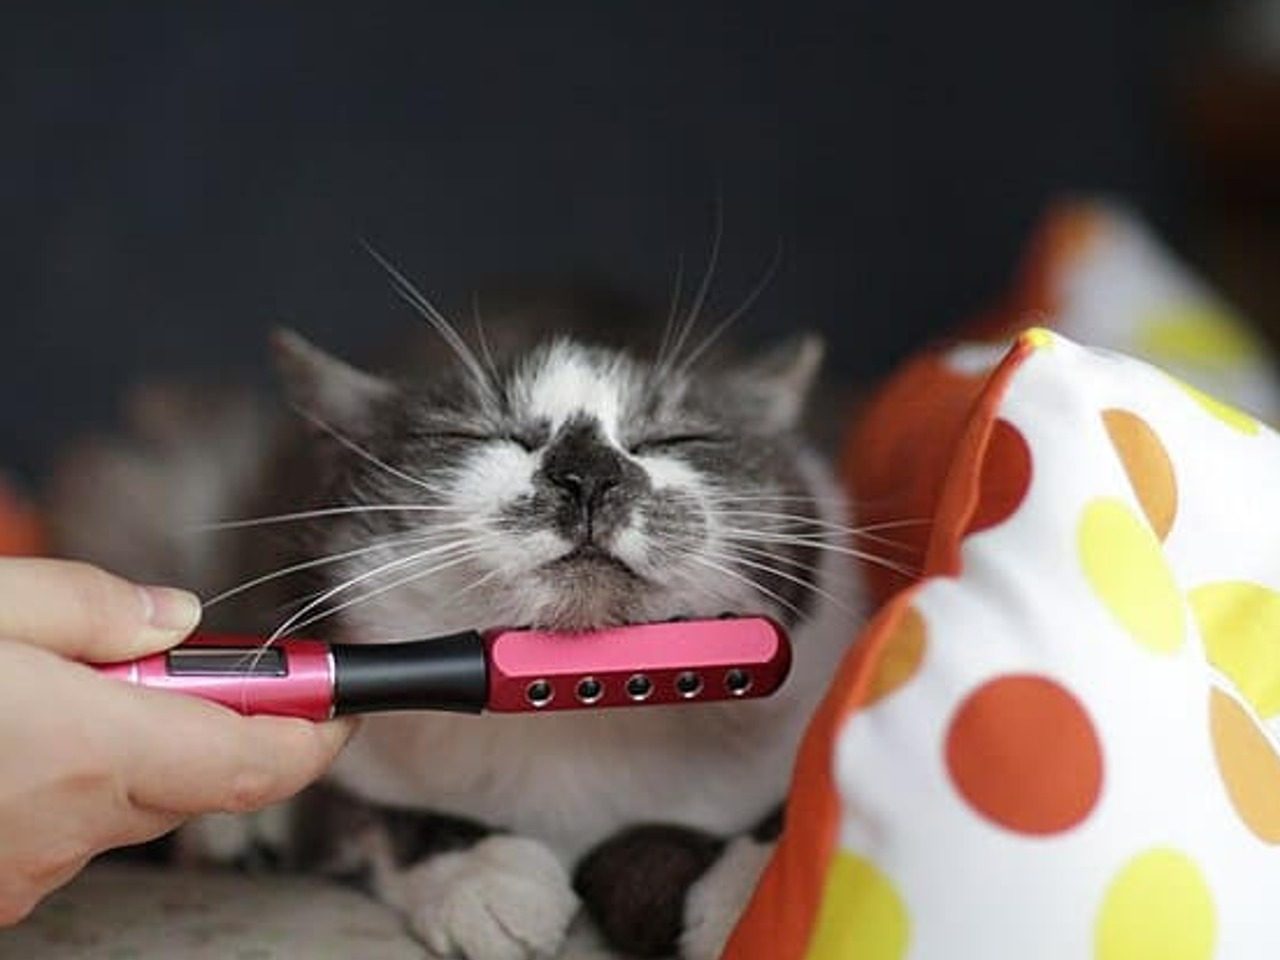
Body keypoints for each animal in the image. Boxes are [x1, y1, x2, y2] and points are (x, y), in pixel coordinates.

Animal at [52, 281, 870, 957]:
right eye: (475, 436)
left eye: (679, 440)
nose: (588, 475)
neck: (575, 732)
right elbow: (365, 813)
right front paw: (487, 877)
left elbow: (785, 809)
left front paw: (750, 893)